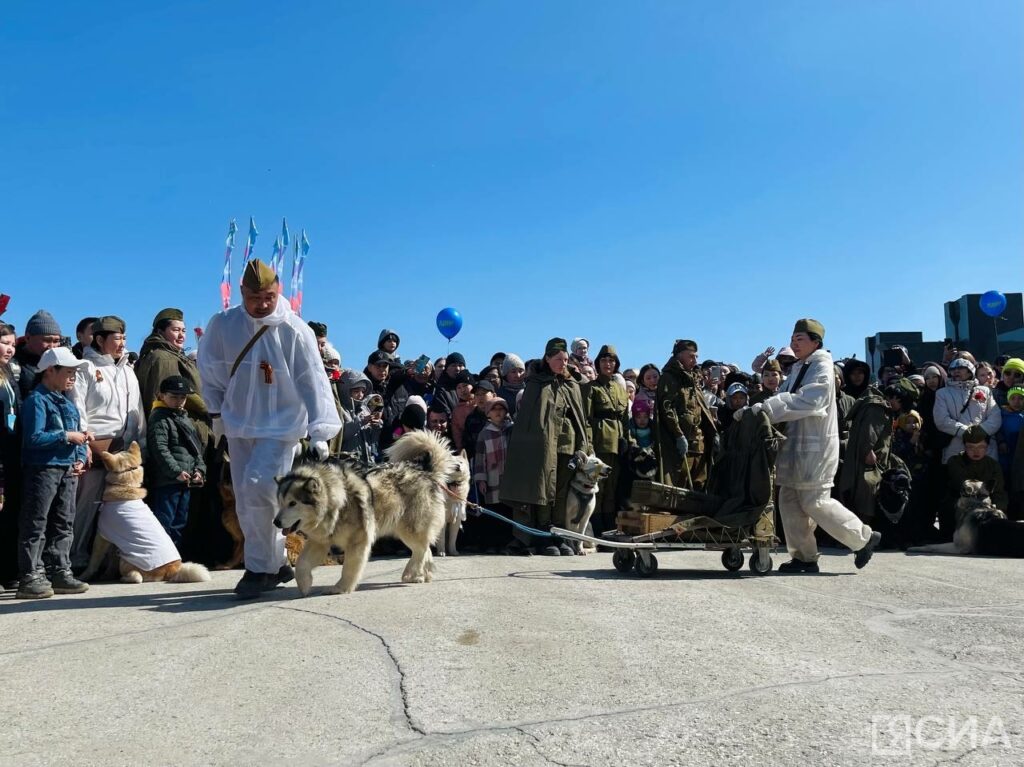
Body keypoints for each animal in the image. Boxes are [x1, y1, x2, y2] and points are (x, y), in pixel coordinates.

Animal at [81, 440, 214, 581]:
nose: (117, 444)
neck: (126, 486)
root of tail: (172, 569)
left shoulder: (102, 535)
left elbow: (94, 560)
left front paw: (85, 575)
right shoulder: (115, 538)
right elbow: (111, 560)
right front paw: (107, 574)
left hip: (127, 558)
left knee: (137, 577)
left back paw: (125, 578)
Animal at [278, 428, 458, 593]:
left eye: (292, 503)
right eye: (280, 503)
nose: (276, 522)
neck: (335, 500)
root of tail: (424, 470)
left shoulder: (358, 541)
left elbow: (349, 569)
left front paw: (341, 588)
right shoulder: (319, 541)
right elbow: (301, 564)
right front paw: (304, 584)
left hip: (410, 529)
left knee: (421, 549)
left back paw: (411, 573)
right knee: (424, 549)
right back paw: (422, 575)